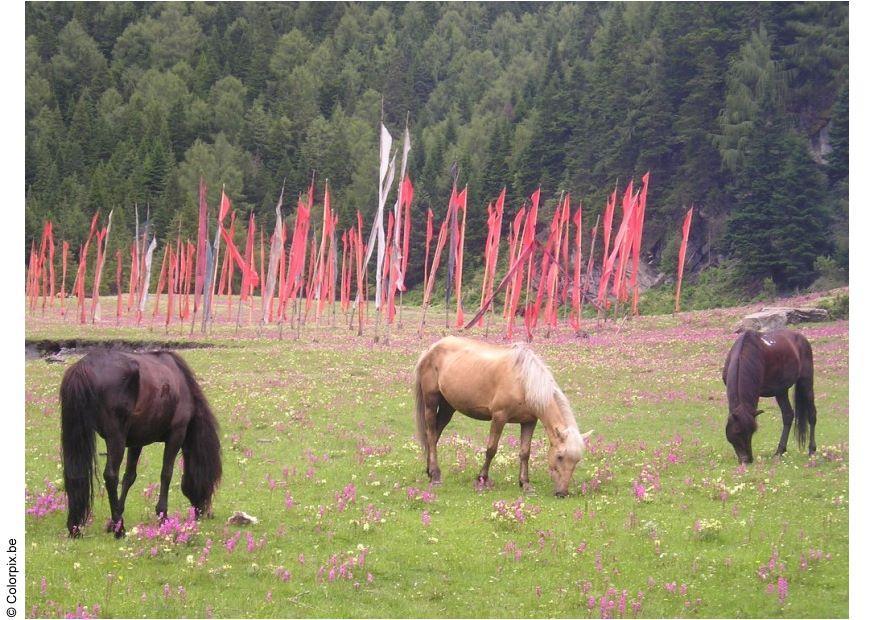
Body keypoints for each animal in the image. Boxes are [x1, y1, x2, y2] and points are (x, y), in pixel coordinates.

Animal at [60, 349, 222, 538]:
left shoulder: (136, 442)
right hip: (116, 438)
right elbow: (166, 474)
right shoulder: (176, 434)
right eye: (209, 479)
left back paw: (76, 527)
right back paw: (120, 530)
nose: (202, 512)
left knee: (75, 473)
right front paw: (162, 516)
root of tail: (84, 367)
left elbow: (129, 477)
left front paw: (113, 521)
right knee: (111, 475)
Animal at [413, 336, 593, 496]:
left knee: (435, 434)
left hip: (448, 406)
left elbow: (525, 452)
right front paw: (482, 479)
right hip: (431, 401)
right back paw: (436, 475)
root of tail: (431, 349)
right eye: (560, 456)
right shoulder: (499, 417)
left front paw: (525, 484)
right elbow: (491, 449)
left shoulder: (529, 421)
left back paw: (429, 471)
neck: (524, 382)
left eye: (576, 460)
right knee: (431, 434)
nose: (562, 493)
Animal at [722, 329, 817, 464]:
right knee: (788, 415)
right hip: (781, 391)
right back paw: (780, 451)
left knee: (812, 414)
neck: (744, 353)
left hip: (806, 382)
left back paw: (812, 450)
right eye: (737, 431)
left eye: (752, 432)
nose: (747, 460)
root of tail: (801, 338)